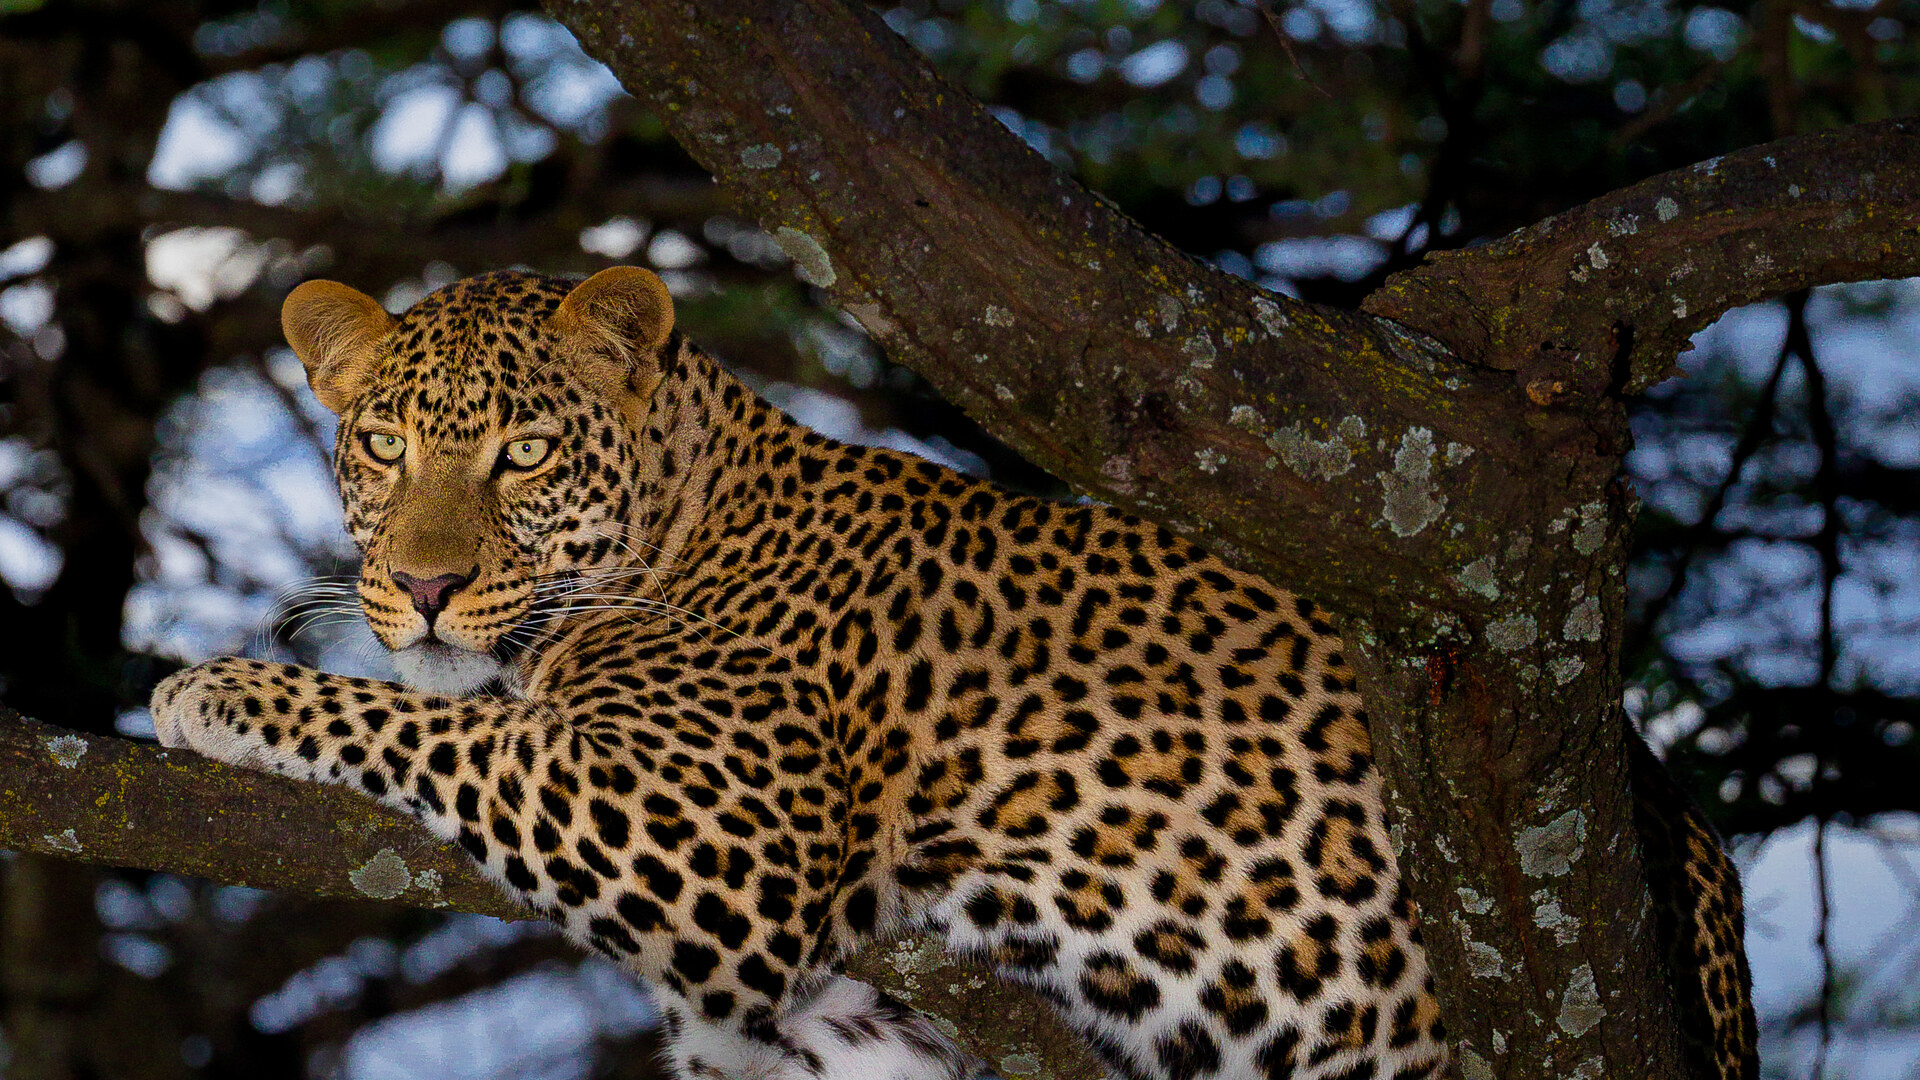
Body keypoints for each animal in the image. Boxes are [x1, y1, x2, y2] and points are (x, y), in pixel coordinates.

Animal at [151, 267, 1756, 1080]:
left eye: (526, 452)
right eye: (381, 445)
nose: (419, 588)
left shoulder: (708, 833)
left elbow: (433, 731)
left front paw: (215, 690)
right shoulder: (819, 1027)